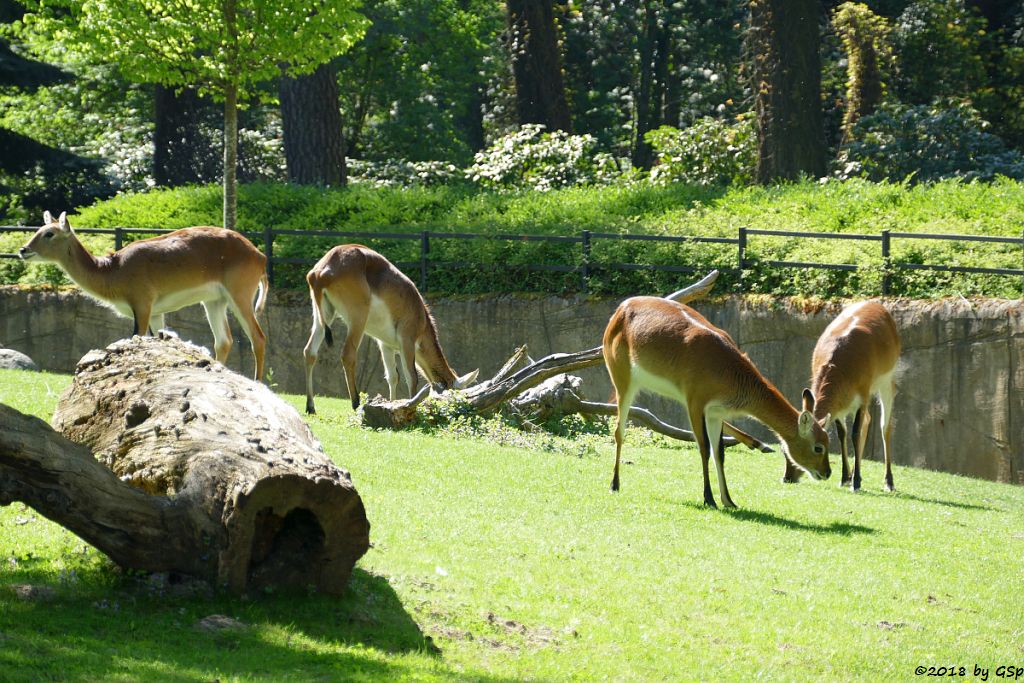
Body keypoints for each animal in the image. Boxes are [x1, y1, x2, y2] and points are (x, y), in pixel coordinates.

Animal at [20, 210, 268, 382]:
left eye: (49, 233)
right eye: (38, 230)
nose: (23, 250)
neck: (113, 269)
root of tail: (260, 255)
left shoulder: (142, 306)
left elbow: (135, 341)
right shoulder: (156, 313)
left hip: (240, 296)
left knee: (258, 337)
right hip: (214, 301)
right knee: (224, 341)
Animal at [303, 245, 479, 417]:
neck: (421, 319)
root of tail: (320, 272)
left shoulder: (385, 345)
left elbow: (393, 377)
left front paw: (391, 405)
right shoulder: (407, 341)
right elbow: (411, 376)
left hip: (324, 316)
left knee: (310, 352)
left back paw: (311, 407)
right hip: (357, 319)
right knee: (348, 354)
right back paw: (355, 403)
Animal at [598, 296, 831, 507]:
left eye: (828, 440)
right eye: (818, 447)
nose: (827, 473)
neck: (726, 368)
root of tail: (621, 308)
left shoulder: (715, 412)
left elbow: (718, 453)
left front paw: (728, 500)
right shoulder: (696, 403)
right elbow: (703, 448)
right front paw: (709, 498)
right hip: (624, 383)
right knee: (619, 431)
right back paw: (614, 484)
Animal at [786, 301, 901, 489]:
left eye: (817, 448)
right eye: (784, 446)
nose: (787, 477)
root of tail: (876, 304)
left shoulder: (862, 397)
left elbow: (854, 434)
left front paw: (856, 482)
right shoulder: (840, 406)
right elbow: (842, 434)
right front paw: (845, 477)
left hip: (886, 384)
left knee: (885, 426)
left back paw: (888, 482)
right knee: (867, 420)